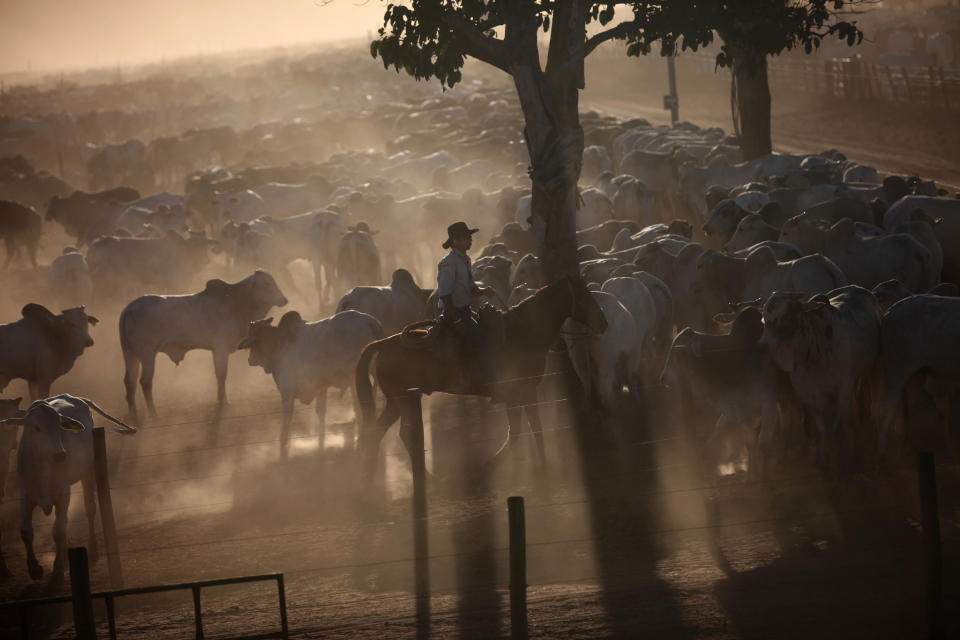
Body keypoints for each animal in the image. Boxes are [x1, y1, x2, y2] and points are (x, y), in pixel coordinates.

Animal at [352, 276, 608, 476]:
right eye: (583, 296)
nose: (603, 322)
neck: (522, 331)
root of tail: (385, 342)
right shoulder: (518, 392)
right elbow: (523, 430)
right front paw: (493, 465)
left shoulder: (523, 392)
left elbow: (529, 428)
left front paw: (540, 464)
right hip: (401, 400)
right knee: (397, 433)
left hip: (397, 402)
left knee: (382, 432)